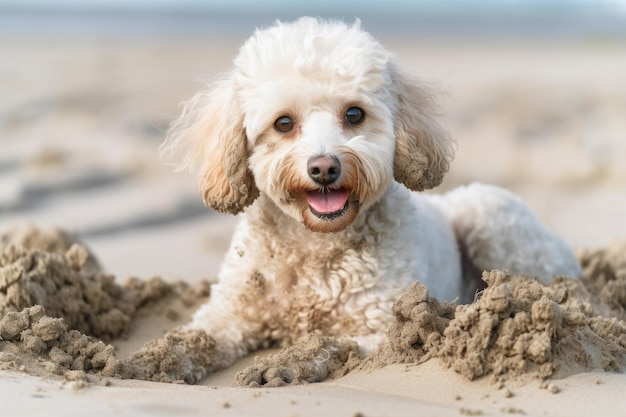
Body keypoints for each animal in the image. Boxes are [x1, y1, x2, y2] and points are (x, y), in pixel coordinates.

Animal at [141, 18, 580, 384]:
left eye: (354, 114)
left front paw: (284, 362)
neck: (315, 243)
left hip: (491, 222)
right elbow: (197, 336)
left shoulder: (384, 326)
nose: (324, 168)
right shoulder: (229, 314)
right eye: (283, 123)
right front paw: (156, 360)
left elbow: (330, 343)